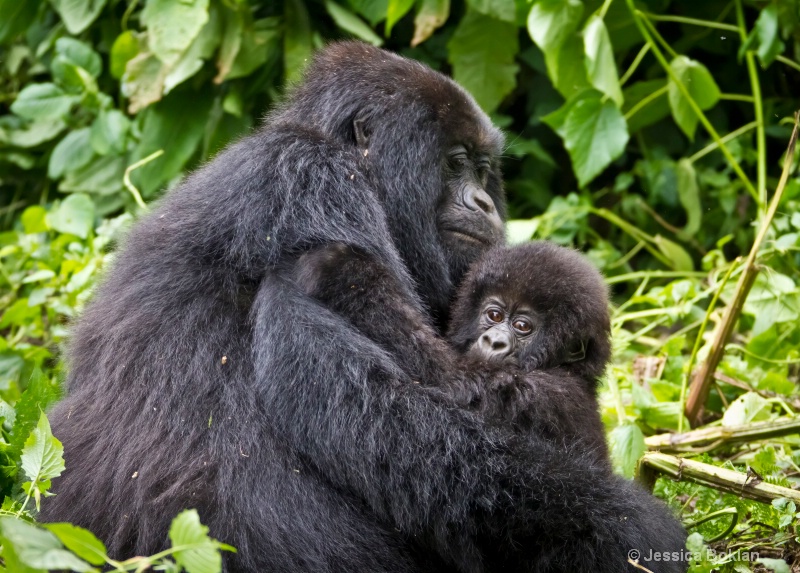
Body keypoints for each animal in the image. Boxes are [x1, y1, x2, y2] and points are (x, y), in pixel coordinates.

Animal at [40, 41, 684, 572]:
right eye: (455, 162)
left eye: (483, 170)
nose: (483, 202)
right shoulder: (314, 182)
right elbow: (410, 421)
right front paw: (632, 529)